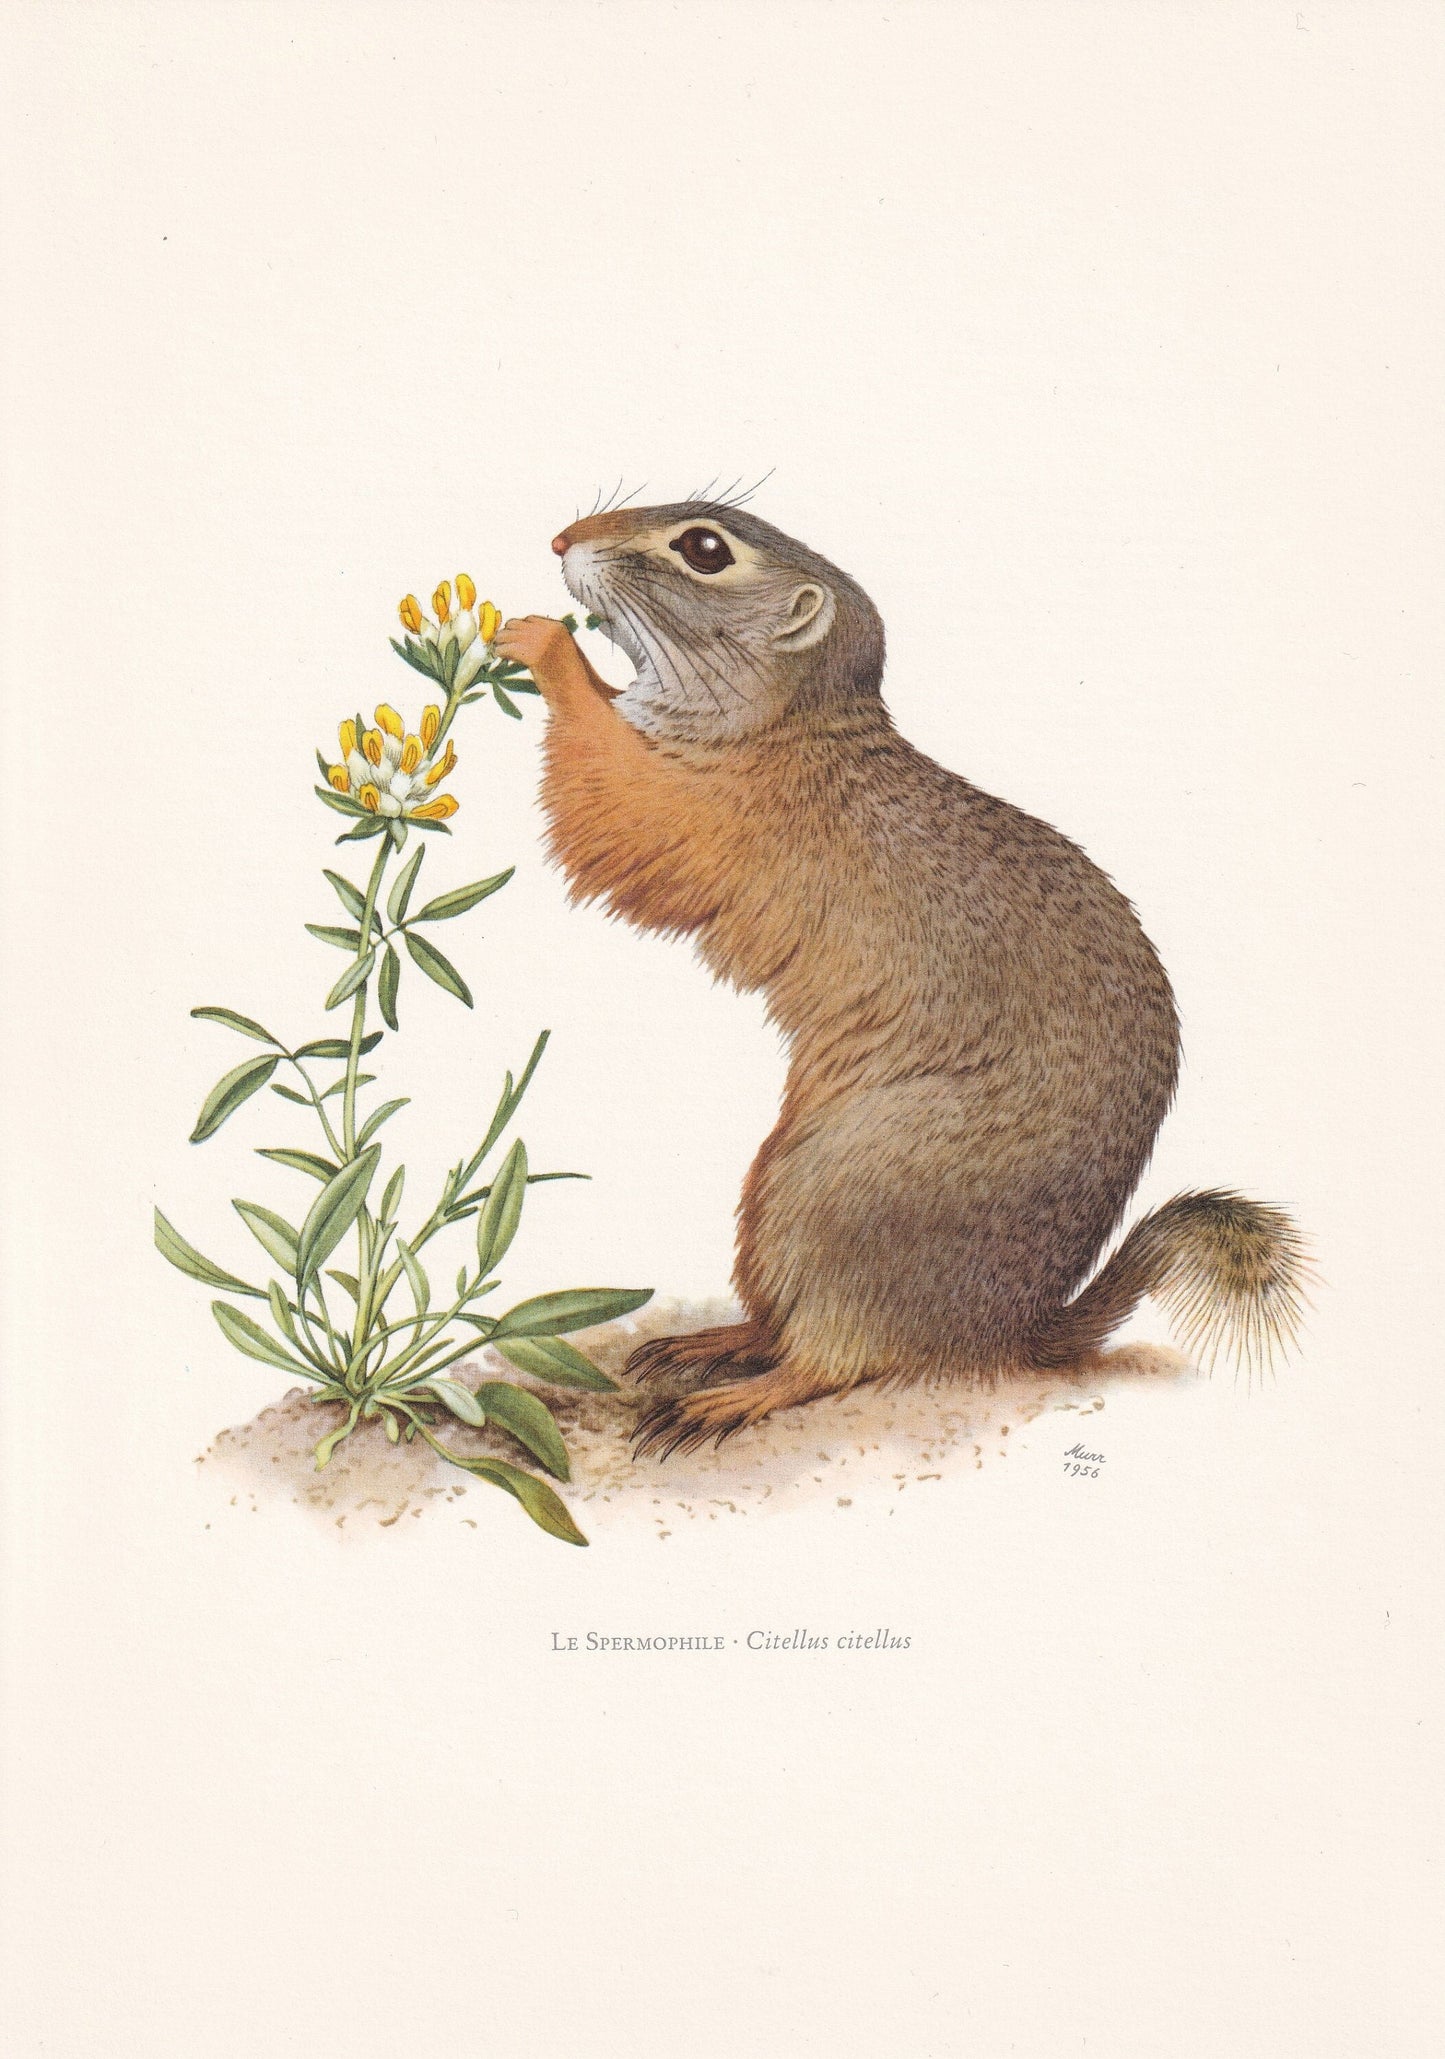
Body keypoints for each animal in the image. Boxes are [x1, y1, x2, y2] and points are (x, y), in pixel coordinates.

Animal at [493, 501, 1308, 1459]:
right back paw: (710, 1341)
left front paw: (541, 643)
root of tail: (1001, 1332)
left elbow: (607, 794)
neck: (793, 726)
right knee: (779, 1325)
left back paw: (727, 1398)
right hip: (771, 1198)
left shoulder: (698, 810)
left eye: (703, 549)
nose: (560, 539)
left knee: (831, 1360)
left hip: (834, 1193)